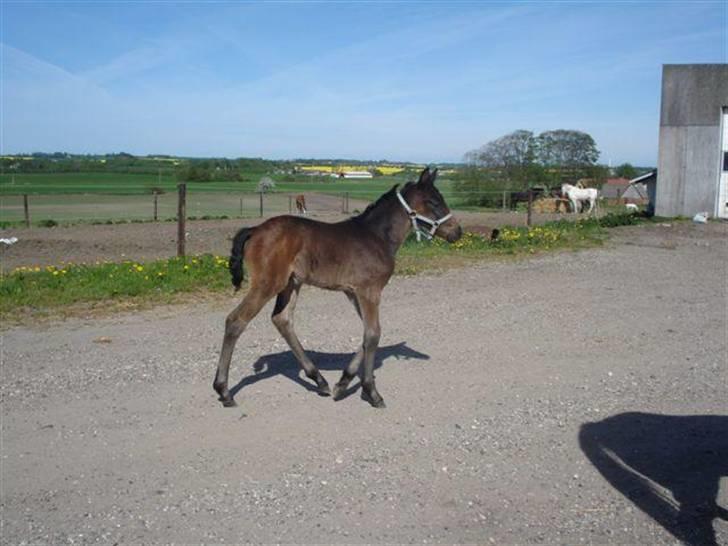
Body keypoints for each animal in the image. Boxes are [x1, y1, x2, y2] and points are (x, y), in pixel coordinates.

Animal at [212, 168, 460, 406]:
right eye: (433, 202)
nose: (457, 232)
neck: (377, 237)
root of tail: (255, 229)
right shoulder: (369, 291)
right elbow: (373, 334)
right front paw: (371, 392)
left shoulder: (353, 292)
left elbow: (368, 333)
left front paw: (343, 383)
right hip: (267, 284)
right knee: (236, 321)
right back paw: (223, 390)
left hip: (291, 283)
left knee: (282, 320)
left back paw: (319, 380)